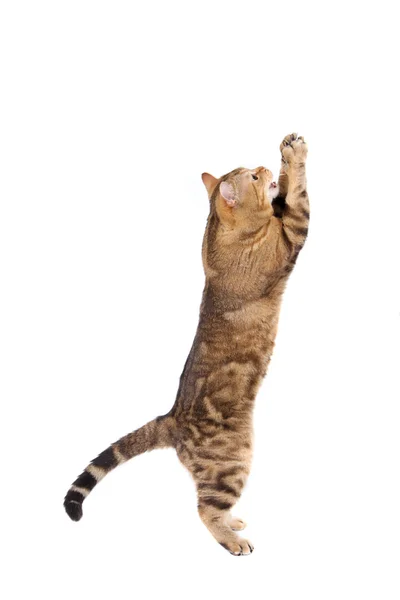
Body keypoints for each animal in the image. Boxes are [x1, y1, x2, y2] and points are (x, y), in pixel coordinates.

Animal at [65, 134, 310, 556]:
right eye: (253, 176)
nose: (263, 165)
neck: (220, 235)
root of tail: (172, 417)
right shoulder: (291, 236)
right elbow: (298, 194)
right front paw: (293, 157)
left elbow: (286, 195)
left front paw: (285, 152)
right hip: (234, 459)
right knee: (205, 508)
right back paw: (232, 539)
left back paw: (233, 521)